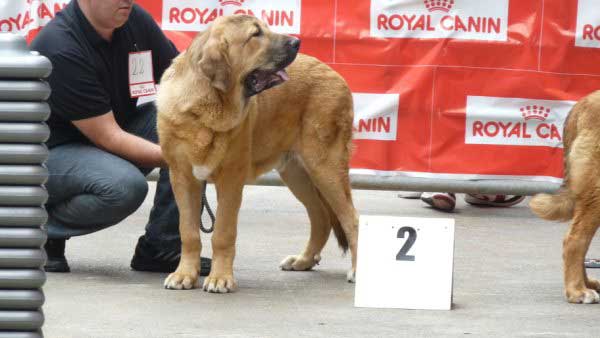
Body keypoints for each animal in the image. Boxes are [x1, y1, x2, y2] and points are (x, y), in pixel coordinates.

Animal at [157, 14, 358, 292]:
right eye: (255, 34)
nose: (297, 42)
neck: (207, 103)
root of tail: (336, 74)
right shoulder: (182, 178)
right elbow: (188, 232)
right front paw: (184, 274)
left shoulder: (231, 179)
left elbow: (223, 233)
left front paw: (220, 278)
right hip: (297, 173)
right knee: (320, 216)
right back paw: (303, 260)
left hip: (326, 167)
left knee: (351, 219)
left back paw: (357, 270)